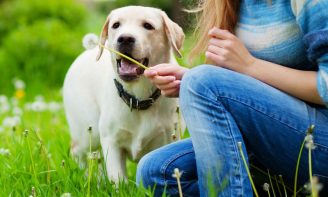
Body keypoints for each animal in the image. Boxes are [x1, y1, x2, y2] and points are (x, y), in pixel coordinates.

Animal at [61, 5, 184, 182]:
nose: (125, 39)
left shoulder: (168, 138)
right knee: (79, 151)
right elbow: (117, 180)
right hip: (88, 131)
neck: (139, 98)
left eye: (148, 26)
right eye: (116, 25)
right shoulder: (112, 142)